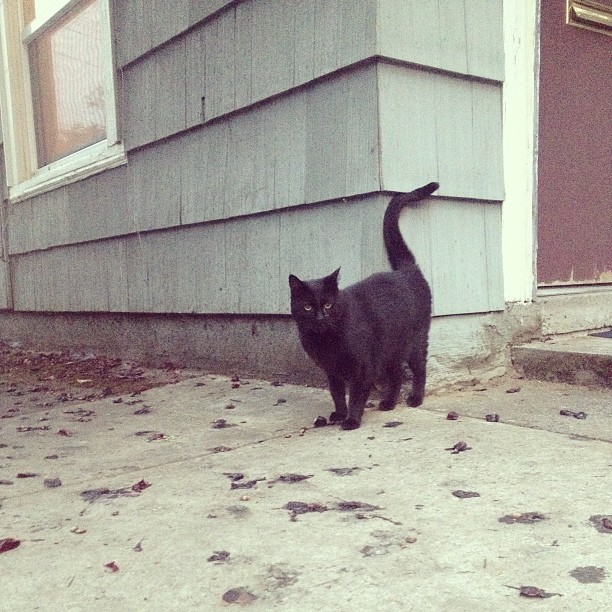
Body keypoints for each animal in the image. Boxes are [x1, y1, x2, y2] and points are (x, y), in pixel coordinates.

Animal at [288, 182, 438, 430]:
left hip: (415, 340)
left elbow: (357, 395)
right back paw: (388, 403)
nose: (320, 317)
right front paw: (340, 414)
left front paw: (352, 420)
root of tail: (406, 270)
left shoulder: (362, 368)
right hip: (390, 348)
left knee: (419, 368)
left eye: (328, 304)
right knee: (396, 374)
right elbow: (337, 394)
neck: (325, 341)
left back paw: (415, 398)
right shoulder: (332, 372)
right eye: (308, 307)